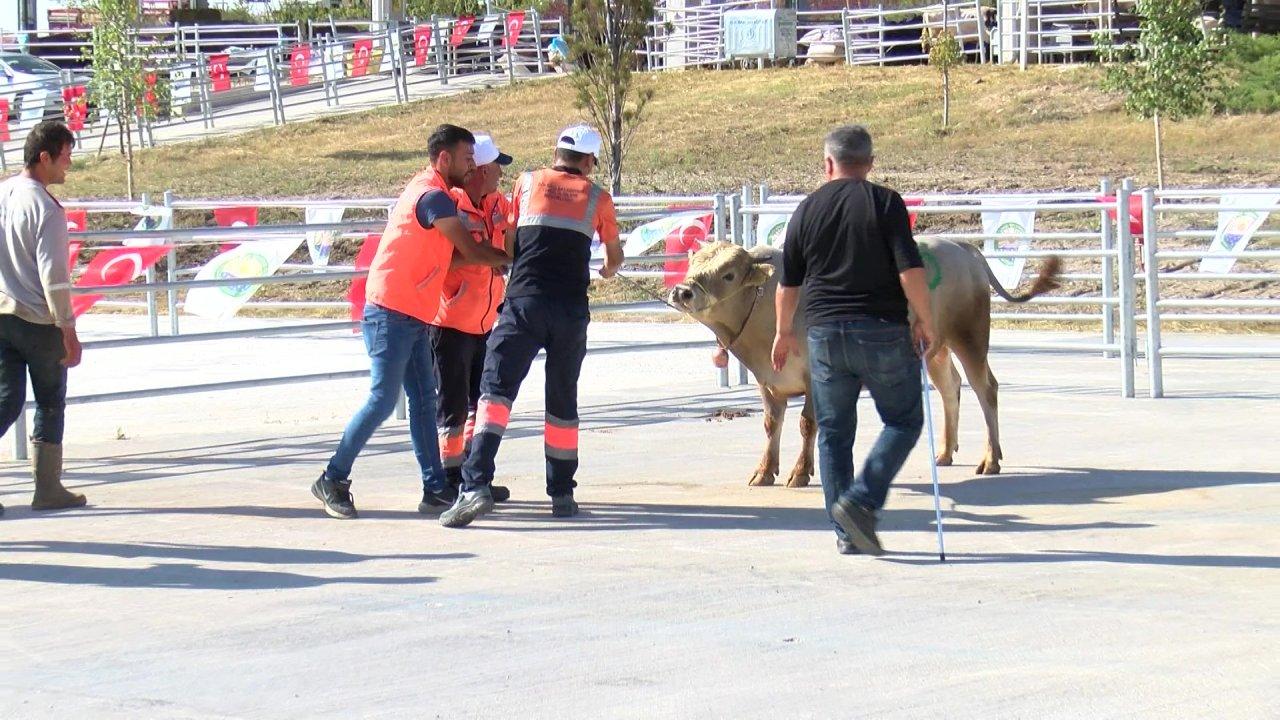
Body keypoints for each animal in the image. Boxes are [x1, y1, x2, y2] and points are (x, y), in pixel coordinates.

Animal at [670, 239, 1059, 481]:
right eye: (693, 264)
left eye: (729, 274)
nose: (682, 291)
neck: (772, 304)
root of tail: (962, 247)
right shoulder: (767, 380)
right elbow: (771, 424)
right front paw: (764, 471)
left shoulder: (814, 376)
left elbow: (808, 424)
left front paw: (801, 472)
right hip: (934, 347)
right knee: (951, 388)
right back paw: (946, 452)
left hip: (970, 336)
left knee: (985, 389)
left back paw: (990, 459)